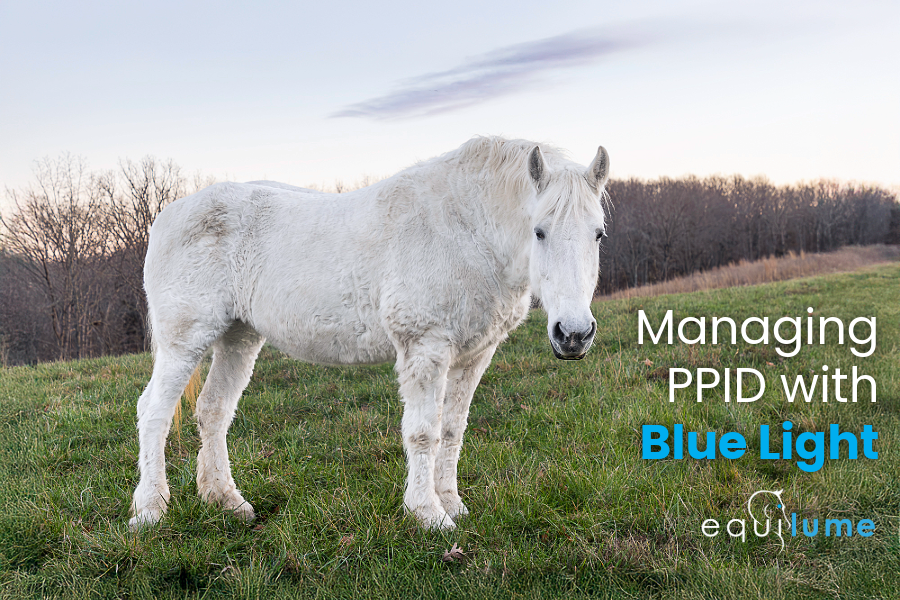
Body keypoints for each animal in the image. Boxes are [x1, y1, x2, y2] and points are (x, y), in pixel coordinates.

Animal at [129, 136, 610, 530]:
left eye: (599, 234)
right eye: (539, 231)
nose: (573, 335)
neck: (465, 231)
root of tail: (167, 216)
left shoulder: (475, 354)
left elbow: (453, 430)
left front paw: (452, 504)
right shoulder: (425, 347)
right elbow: (424, 431)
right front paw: (428, 514)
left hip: (238, 337)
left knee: (213, 411)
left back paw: (225, 501)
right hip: (184, 340)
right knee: (153, 412)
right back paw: (150, 510)